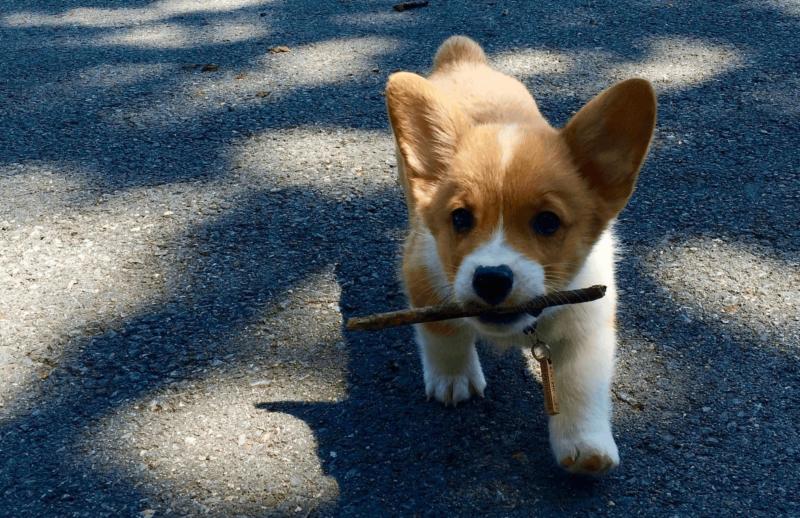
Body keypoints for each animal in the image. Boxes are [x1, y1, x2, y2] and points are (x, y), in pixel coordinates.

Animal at [386, 34, 656, 478]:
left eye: (547, 222)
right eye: (460, 218)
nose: (491, 278)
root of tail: (463, 56)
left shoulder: (589, 321)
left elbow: (581, 385)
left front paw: (586, 445)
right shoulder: (422, 272)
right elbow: (442, 334)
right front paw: (453, 379)